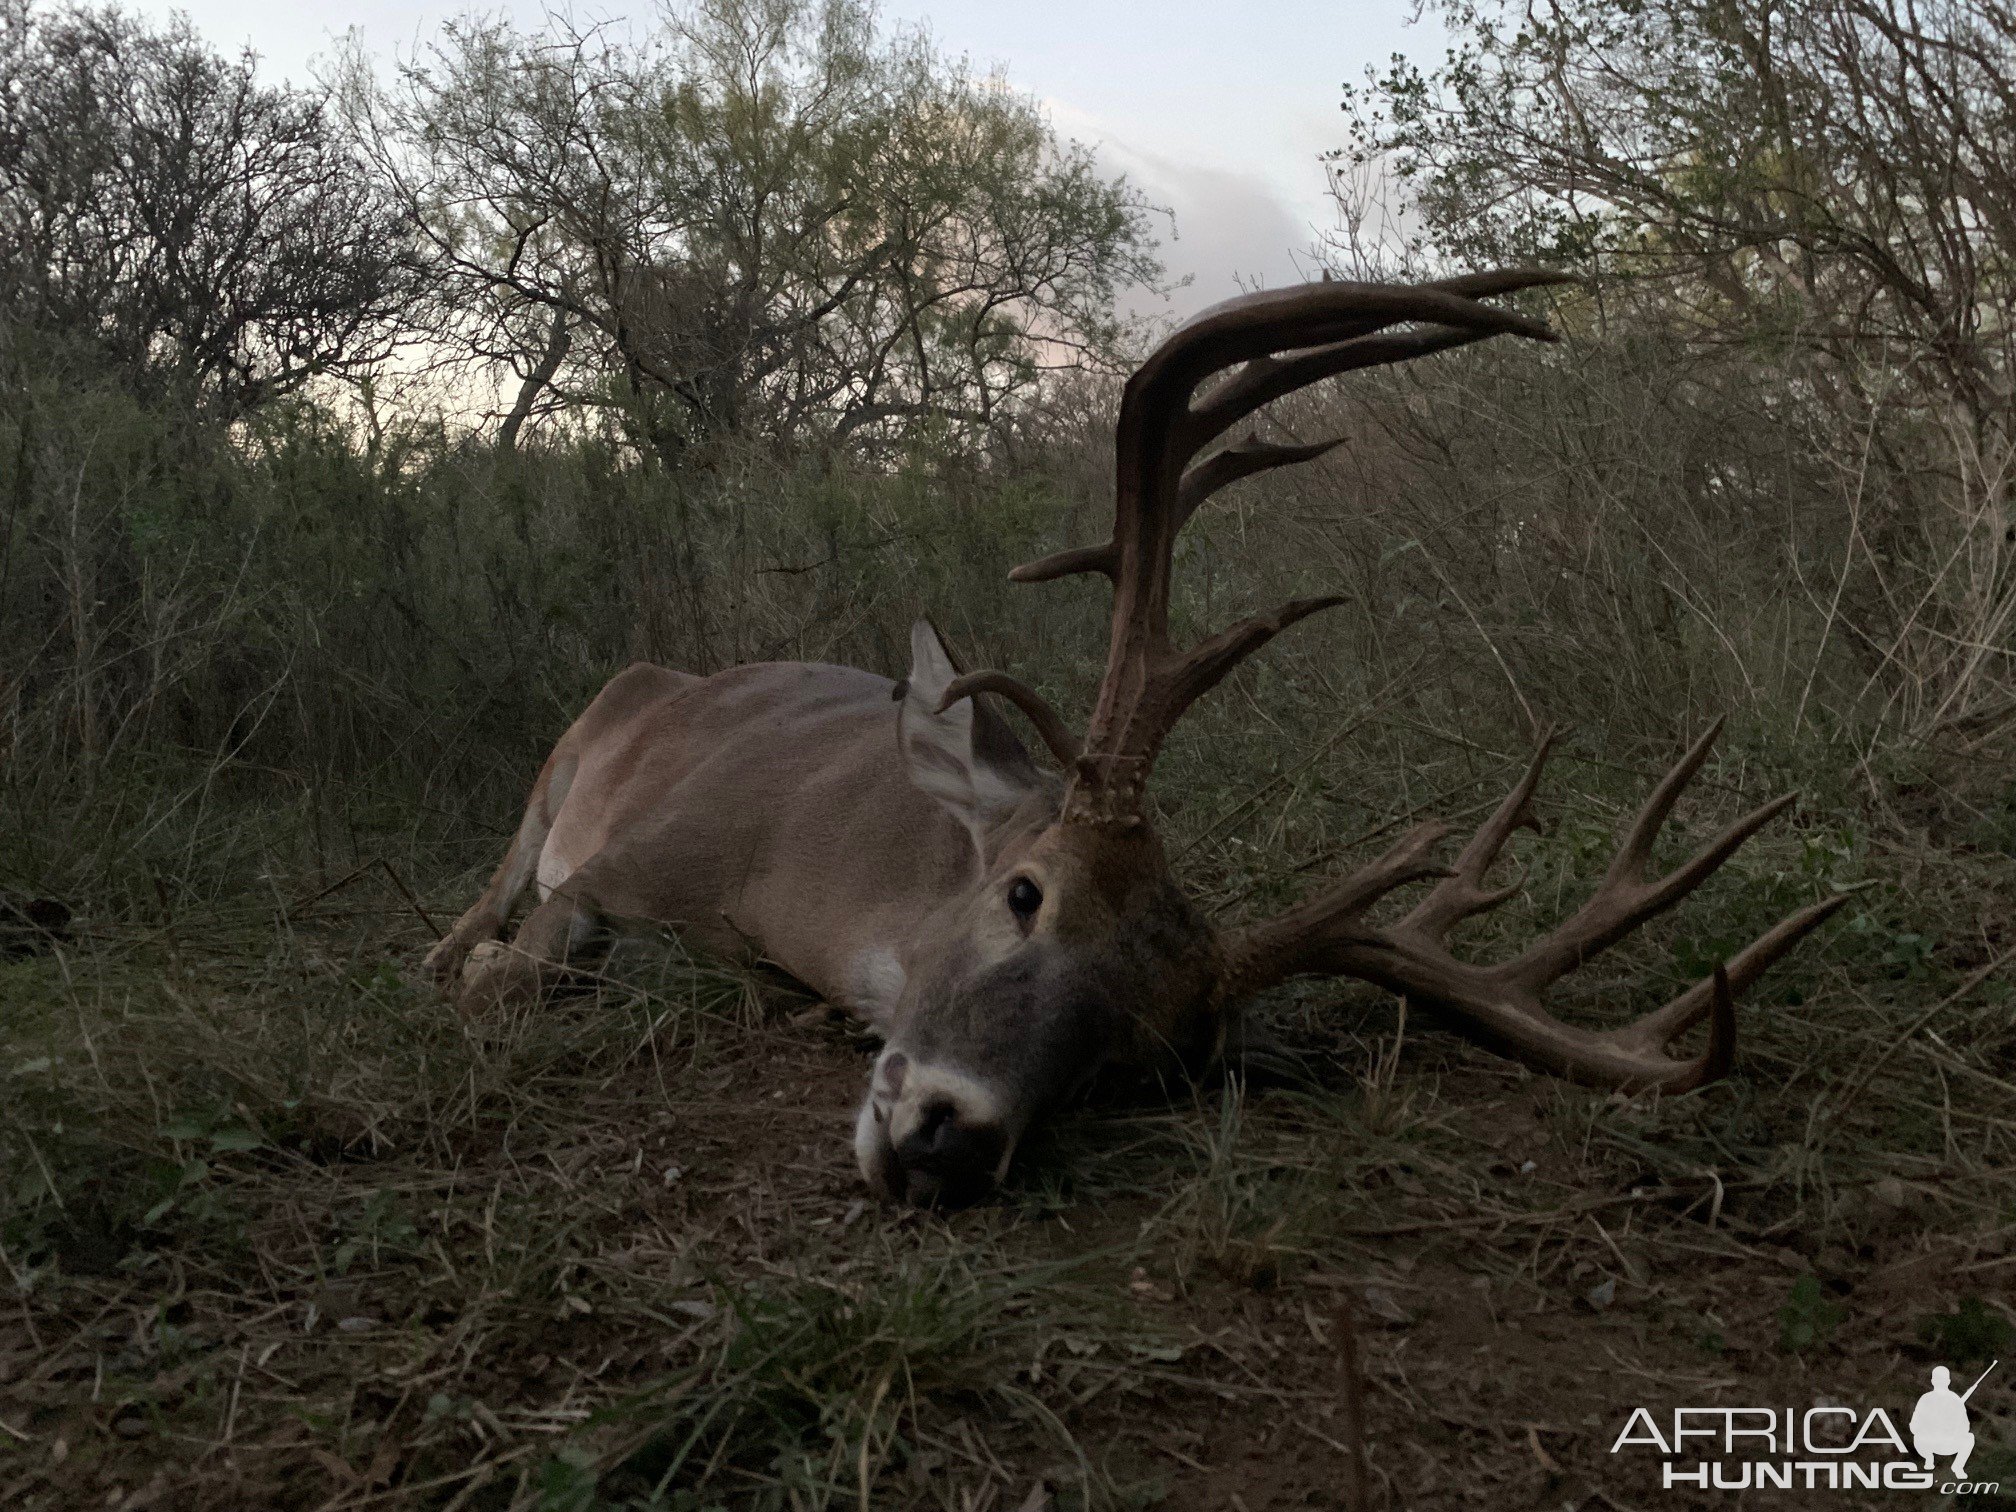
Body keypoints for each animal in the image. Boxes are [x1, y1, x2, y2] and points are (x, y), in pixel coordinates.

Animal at [429, 272, 1846, 1209]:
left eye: (1136, 1058)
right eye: (1025, 892)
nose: (952, 1139)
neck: (801, 896)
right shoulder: (634, 862)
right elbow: (507, 973)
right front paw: (486, 970)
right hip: (561, 766)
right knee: (480, 899)